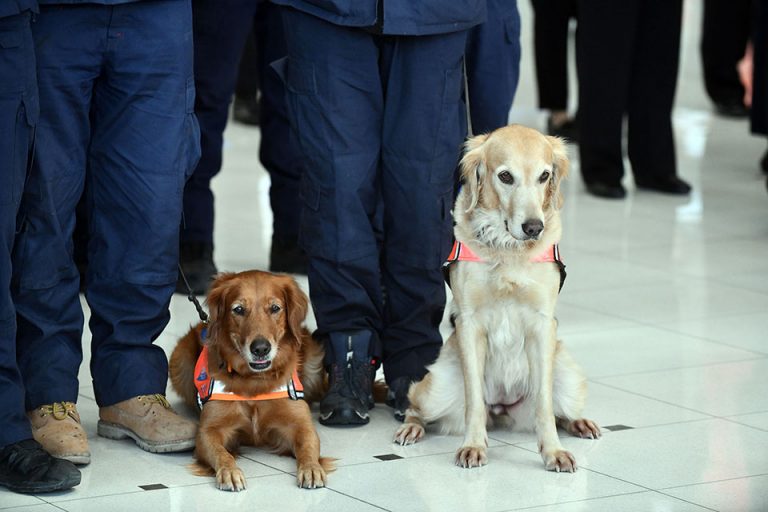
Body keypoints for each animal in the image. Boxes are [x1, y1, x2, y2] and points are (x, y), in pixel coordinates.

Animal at [169, 270, 333, 491]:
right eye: (238, 309)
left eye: (275, 308)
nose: (261, 348)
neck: (254, 381)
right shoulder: (208, 431)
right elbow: (221, 453)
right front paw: (229, 472)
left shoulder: (301, 424)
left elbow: (308, 447)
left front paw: (312, 468)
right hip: (180, 360)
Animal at [394, 125, 600, 472]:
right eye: (505, 176)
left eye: (544, 176)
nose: (533, 227)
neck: (507, 250)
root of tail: (502, 408)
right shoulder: (470, 324)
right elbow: (474, 401)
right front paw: (474, 446)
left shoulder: (542, 324)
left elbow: (545, 406)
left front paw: (553, 451)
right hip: (438, 388)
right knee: (415, 403)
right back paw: (411, 427)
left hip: (569, 378)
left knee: (561, 411)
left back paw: (580, 422)